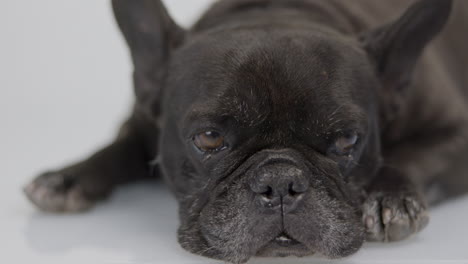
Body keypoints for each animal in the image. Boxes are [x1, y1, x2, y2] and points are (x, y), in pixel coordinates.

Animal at [23, 0, 468, 262]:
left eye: (346, 140)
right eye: (209, 138)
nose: (281, 181)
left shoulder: (457, 134)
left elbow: (413, 155)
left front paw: (390, 197)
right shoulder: (142, 122)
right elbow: (117, 149)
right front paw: (68, 177)